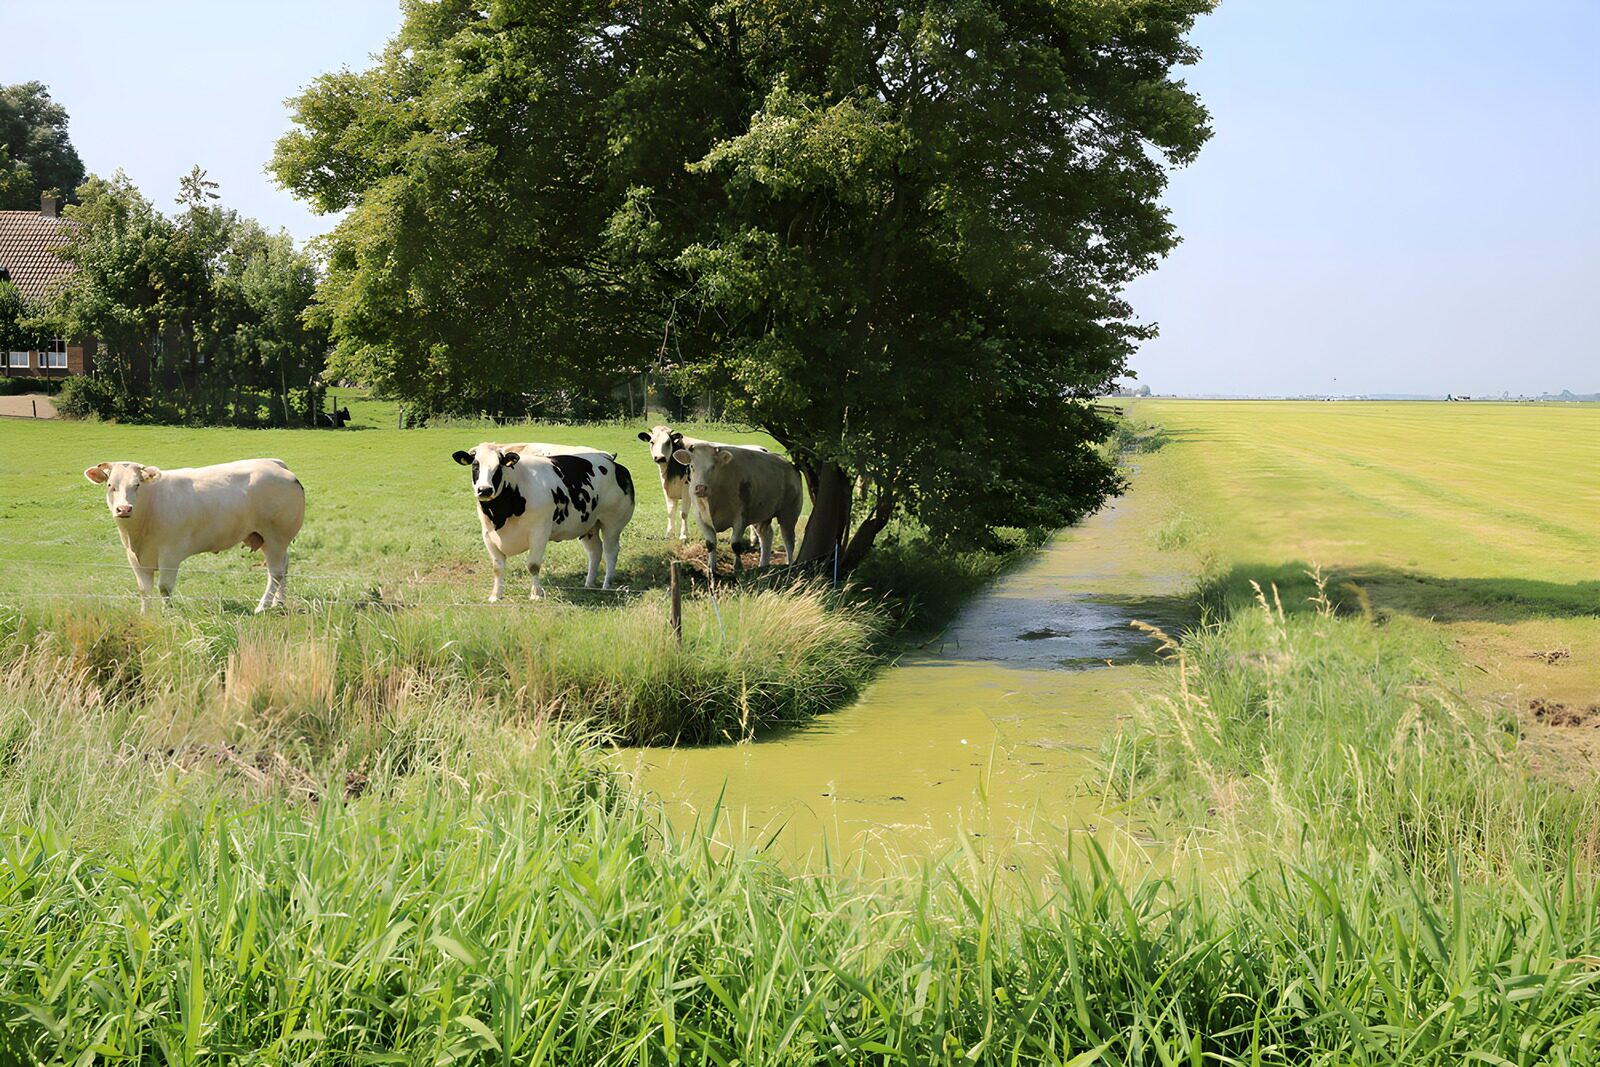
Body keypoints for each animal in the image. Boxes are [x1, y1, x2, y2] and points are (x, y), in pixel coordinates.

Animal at [83, 458, 305, 613]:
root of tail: (275, 464)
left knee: (275, 572)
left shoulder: (170, 553)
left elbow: (164, 588)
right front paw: (145, 616)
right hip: (272, 539)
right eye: (110, 485)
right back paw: (279, 602)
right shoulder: (134, 557)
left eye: (137, 484)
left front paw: (168, 615)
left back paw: (263, 606)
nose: (124, 508)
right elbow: (144, 590)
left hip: (276, 536)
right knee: (284, 566)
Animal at [452, 442, 636, 601]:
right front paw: (495, 596)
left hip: (612, 523)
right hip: (588, 525)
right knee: (595, 551)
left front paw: (536, 594)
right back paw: (589, 584)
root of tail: (614, 463)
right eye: (475, 466)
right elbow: (497, 567)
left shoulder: (540, 531)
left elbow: (533, 565)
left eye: (498, 467)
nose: (484, 490)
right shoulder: (488, 535)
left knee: (611, 551)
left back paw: (607, 585)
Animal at [637, 425, 768, 540]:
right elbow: (670, 512)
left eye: (668, 442)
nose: (660, 457)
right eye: (652, 442)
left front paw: (683, 536)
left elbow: (683, 513)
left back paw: (754, 538)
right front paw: (668, 535)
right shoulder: (668, 489)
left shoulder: (687, 488)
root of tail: (760, 449)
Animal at [673, 442, 802, 572]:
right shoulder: (700, 517)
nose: (700, 488)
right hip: (762, 513)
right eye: (692, 466)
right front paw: (711, 568)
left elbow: (735, 544)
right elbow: (710, 543)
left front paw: (738, 568)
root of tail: (791, 466)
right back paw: (763, 564)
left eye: (713, 467)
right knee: (766, 535)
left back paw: (790, 565)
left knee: (789, 540)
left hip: (789, 513)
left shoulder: (740, 517)